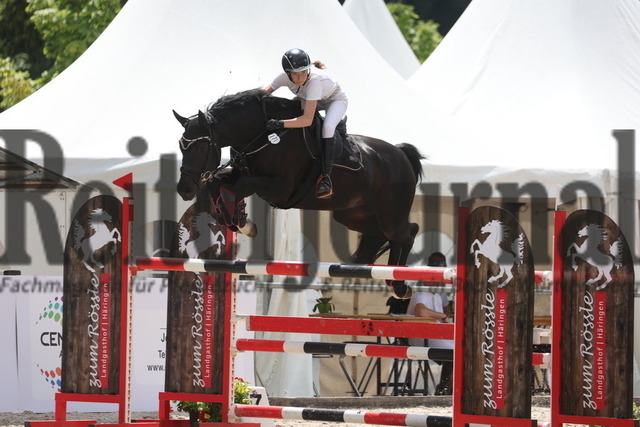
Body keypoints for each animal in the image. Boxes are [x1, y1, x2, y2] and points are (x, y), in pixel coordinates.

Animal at [174, 88, 424, 300]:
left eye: (202, 147)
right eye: (180, 145)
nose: (184, 189)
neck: (262, 136)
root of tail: (400, 153)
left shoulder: (280, 188)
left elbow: (241, 185)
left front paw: (240, 222)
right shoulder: (240, 172)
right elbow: (216, 181)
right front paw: (239, 221)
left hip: (391, 214)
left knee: (407, 232)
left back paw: (399, 286)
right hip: (352, 214)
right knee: (381, 235)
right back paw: (392, 279)